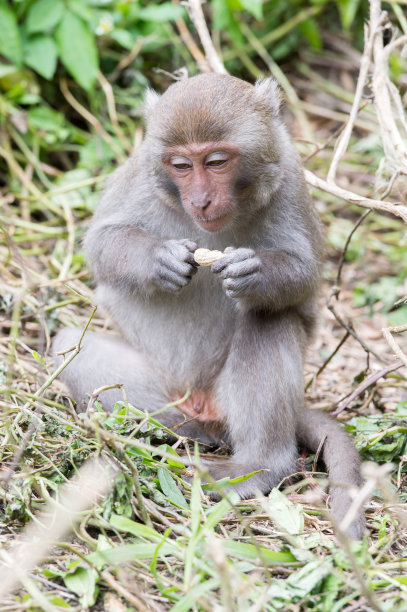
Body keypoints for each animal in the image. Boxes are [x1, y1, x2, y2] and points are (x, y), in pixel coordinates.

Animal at [53, 74, 366, 536]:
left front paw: (255, 273)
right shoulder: (141, 175)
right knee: (68, 344)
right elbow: (101, 243)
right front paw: (158, 259)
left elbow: (304, 277)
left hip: (228, 396)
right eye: (181, 165)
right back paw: (181, 433)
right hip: (165, 384)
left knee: (269, 319)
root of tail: (202, 401)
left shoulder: (289, 178)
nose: (200, 200)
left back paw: (259, 467)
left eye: (216, 161)